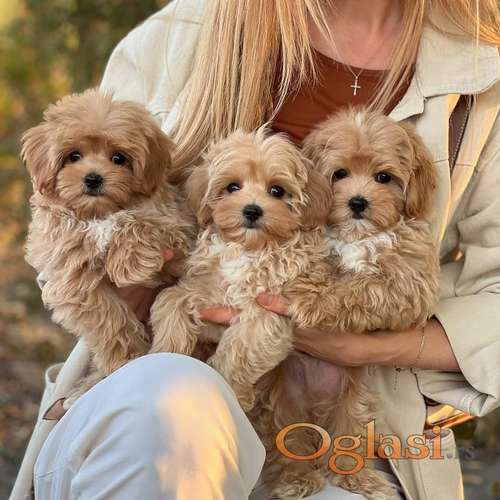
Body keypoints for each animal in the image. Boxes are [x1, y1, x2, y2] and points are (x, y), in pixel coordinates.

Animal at [22, 89, 195, 385]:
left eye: (118, 158)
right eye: (74, 156)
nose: (93, 179)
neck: (99, 214)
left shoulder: (177, 229)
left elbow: (138, 223)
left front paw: (130, 263)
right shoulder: (71, 273)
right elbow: (105, 316)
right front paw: (126, 357)